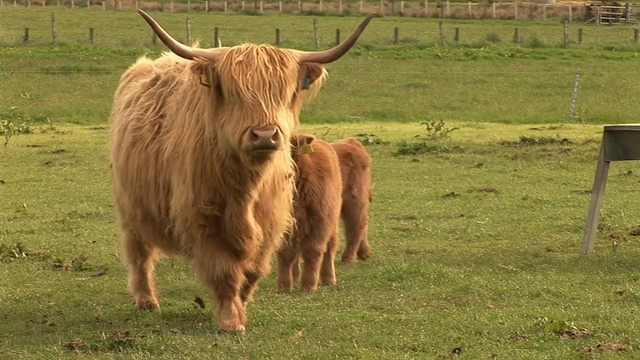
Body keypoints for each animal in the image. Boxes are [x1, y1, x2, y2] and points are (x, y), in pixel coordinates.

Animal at [278, 135, 342, 292]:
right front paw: (283, 286)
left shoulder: (320, 222)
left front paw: (309, 285)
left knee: (330, 248)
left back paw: (329, 278)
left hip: (332, 220)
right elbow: (285, 253)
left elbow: (313, 251)